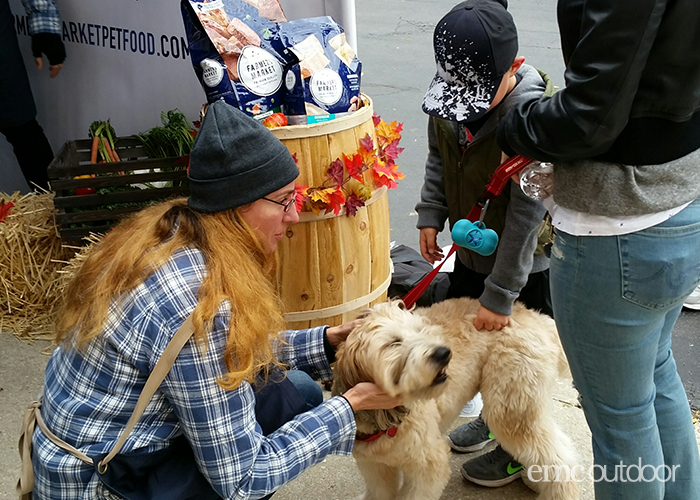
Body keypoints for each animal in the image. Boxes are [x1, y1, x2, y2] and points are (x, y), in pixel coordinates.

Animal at [334, 298, 580, 498]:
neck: (387, 419)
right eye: (393, 342)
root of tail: (534, 315)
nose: (444, 353)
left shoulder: (429, 466)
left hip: (511, 408)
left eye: (420, 330)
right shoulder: (374, 466)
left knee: (559, 460)